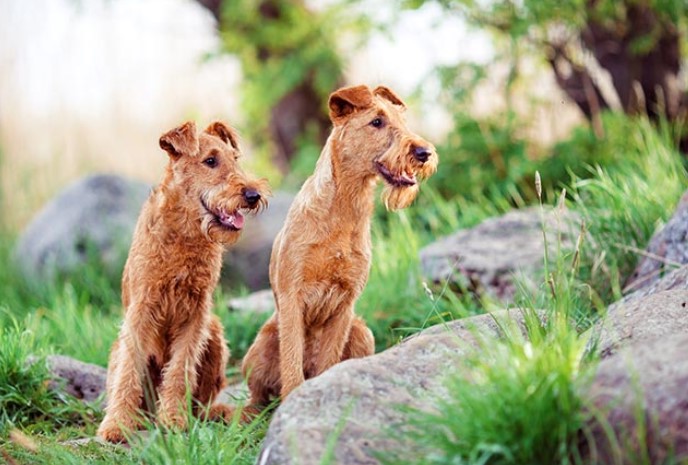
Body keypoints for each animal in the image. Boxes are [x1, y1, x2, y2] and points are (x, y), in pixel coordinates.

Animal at [97, 120, 268, 442]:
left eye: (234, 159)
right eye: (210, 160)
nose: (253, 195)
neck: (185, 234)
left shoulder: (195, 314)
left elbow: (180, 370)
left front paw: (174, 420)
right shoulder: (141, 310)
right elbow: (128, 371)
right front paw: (116, 425)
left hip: (214, 333)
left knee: (201, 402)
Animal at [239, 84, 438, 406]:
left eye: (402, 120)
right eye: (377, 121)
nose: (424, 152)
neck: (344, 209)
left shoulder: (345, 303)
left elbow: (329, 360)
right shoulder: (293, 296)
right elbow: (291, 362)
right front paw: (295, 396)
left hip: (362, 332)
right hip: (260, 346)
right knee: (256, 397)